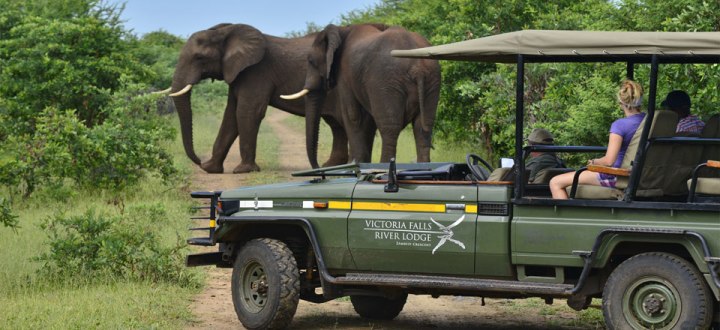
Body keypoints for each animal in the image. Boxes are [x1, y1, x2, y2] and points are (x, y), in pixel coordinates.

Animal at [169, 22, 348, 173]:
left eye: (199, 58)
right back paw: (332, 166)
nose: (198, 161)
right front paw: (210, 169)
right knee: (336, 125)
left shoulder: (256, 72)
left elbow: (247, 112)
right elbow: (230, 115)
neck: (226, 32)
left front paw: (243, 170)